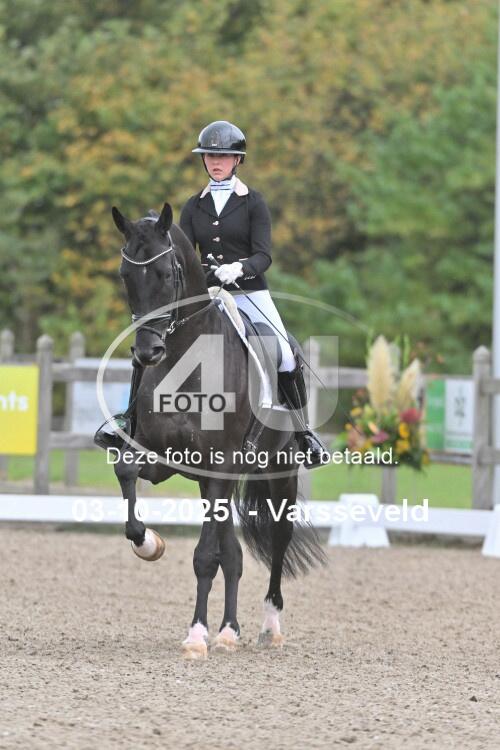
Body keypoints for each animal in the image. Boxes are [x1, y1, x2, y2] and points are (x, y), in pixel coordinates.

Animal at [108, 202, 325, 659]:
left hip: (278, 473)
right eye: (124, 275)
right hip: (219, 483)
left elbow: (206, 555)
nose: (147, 352)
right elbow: (126, 474)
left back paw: (267, 626)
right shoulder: (164, 459)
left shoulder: (219, 465)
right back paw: (228, 630)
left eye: (166, 275)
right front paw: (149, 543)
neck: (186, 361)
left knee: (277, 540)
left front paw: (195, 636)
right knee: (235, 554)